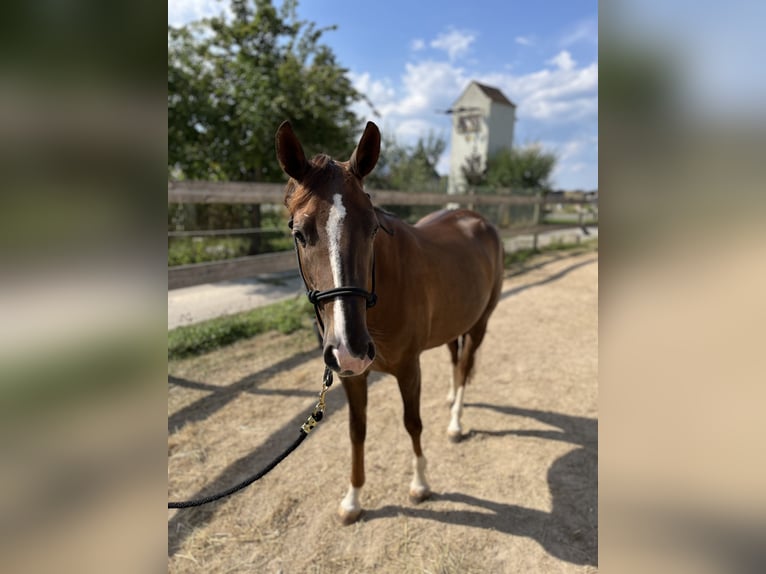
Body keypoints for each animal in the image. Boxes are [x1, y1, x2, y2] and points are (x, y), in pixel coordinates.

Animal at [274, 120, 504, 528]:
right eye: (299, 233)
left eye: (372, 228)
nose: (350, 348)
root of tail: (478, 220)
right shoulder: (353, 377)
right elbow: (356, 432)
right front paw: (352, 500)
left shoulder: (409, 368)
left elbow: (413, 422)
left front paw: (420, 484)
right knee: (455, 359)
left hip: (480, 323)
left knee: (464, 366)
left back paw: (456, 422)